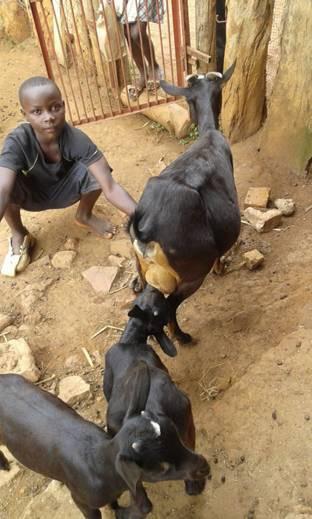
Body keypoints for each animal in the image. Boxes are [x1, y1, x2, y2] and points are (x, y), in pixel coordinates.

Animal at [129, 62, 241, 346]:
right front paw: (221, 269)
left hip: (146, 271)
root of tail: (147, 230)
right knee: (171, 306)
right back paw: (183, 336)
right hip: (192, 275)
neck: (209, 135)